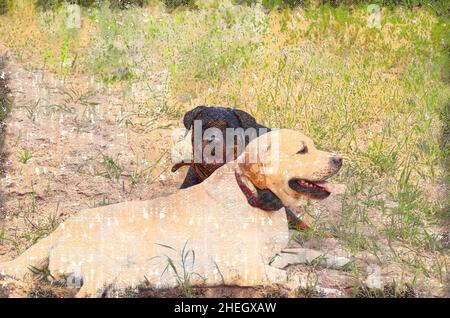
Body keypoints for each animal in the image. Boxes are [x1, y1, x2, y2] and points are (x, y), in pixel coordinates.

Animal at [0, 128, 342, 296]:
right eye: (302, 150)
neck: (254, 198)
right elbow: (296, 277)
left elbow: (304, 254)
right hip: (103, 268)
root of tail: (58, 230)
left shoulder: (272, 256)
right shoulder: (245, 268)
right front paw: (323, 287)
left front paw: (339, 259)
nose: (339, 159)